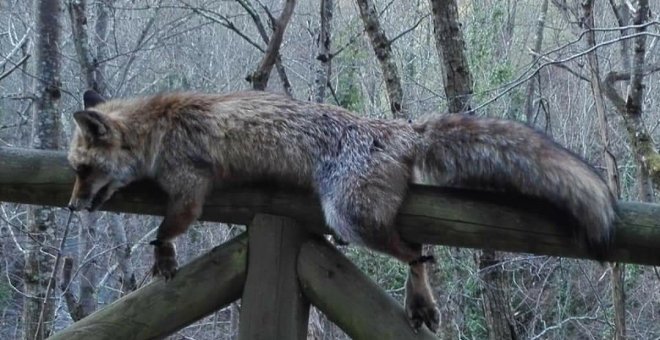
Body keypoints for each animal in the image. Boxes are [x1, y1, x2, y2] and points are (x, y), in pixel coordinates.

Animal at [68, 88, 620, 332]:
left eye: (82, 170)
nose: (73, 207)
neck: (157, 127)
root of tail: (402, 129)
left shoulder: (190, 187)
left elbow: (168, 226)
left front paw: (162, 253)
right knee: (420, 248)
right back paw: (419, 302)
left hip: (348, 215)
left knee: (416, 249)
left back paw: (418, 288)